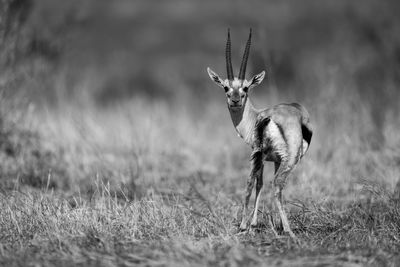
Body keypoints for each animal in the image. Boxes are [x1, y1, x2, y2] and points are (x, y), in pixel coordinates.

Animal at [206, 28, 312, 239]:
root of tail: (270, 117)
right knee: (276, 185)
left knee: (256, 183)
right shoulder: (271, 158)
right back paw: (285, 229)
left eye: (245, 87)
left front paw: (259, 224)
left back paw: (248, 226)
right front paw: (263, 224)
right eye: (226, 87)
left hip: (269, 156)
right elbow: (261, 183)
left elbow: (257, 183)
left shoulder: (266, 157)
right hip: (285, 159)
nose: (235, 101)